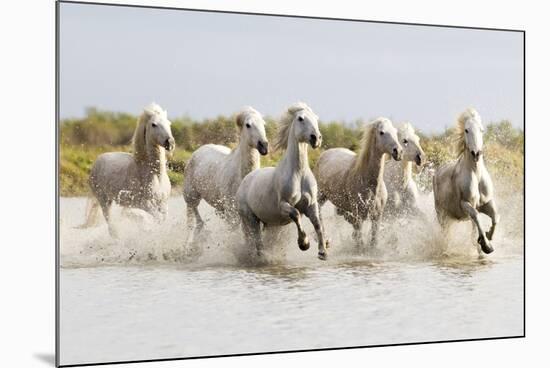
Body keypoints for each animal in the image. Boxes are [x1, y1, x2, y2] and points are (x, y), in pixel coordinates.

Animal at [85, 103, 176, 236]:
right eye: (154, 124)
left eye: (169, 123)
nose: (170, 143)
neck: (154, 175)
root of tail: (97, 161)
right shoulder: (146, 205)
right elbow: (156, 219)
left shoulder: (163, 204)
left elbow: (162, 219)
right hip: (104, 200)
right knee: (110, 223)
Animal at [183, 107, 270, 236]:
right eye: (248, 125)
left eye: (263, 124)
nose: (264, 146)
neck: (241, 178)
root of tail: (197, 151)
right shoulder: (232, 215)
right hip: (190, 196)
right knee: (192, 218)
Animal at [236, 102, 330, 260]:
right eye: (300, 118)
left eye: (316, 118)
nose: (316, 138)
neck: (298, 174)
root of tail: (246, 179)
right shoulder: (283, 205)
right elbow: (296, 214)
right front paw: (304, 243)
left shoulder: (311, 205)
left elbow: (318, 224)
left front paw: (323, 252)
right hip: (250, 219)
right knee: (257, 242)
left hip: (270, 223)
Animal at [436, 108, 500, 254]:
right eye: (466, 130)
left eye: (482, 130)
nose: (476, 153)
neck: (476, 174)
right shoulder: (465, 204)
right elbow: (476, 216)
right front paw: (486, 245)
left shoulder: (486, 202)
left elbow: (495, 217)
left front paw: (487, 238)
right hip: (442, 215)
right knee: (445, 234)